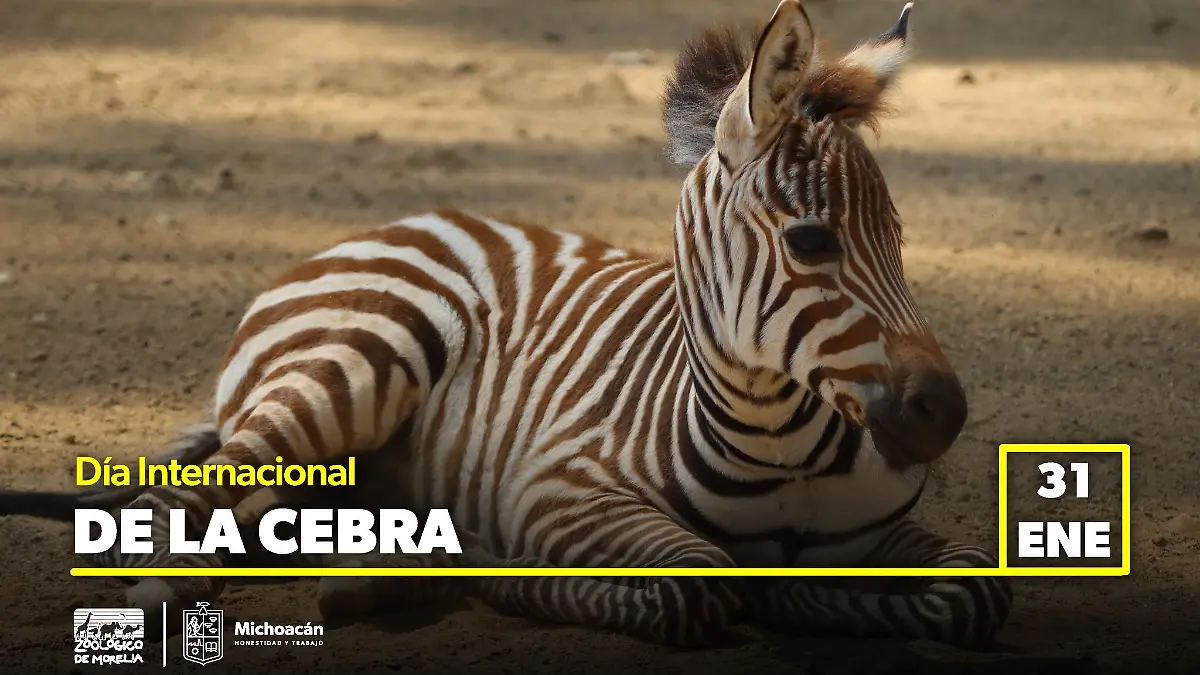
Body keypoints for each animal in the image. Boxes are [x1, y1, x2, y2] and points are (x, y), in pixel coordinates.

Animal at [0, 0, 1012, 649]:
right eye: (811, 240)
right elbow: (691, 587)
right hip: (356, 361)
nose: (946, 413)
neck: (784, 448)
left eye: (898, 236)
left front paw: (812, 601)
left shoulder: (896, 547)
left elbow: (970, 593)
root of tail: (401, 220)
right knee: (186, 511)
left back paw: (365, 574)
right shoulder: (562, 493)